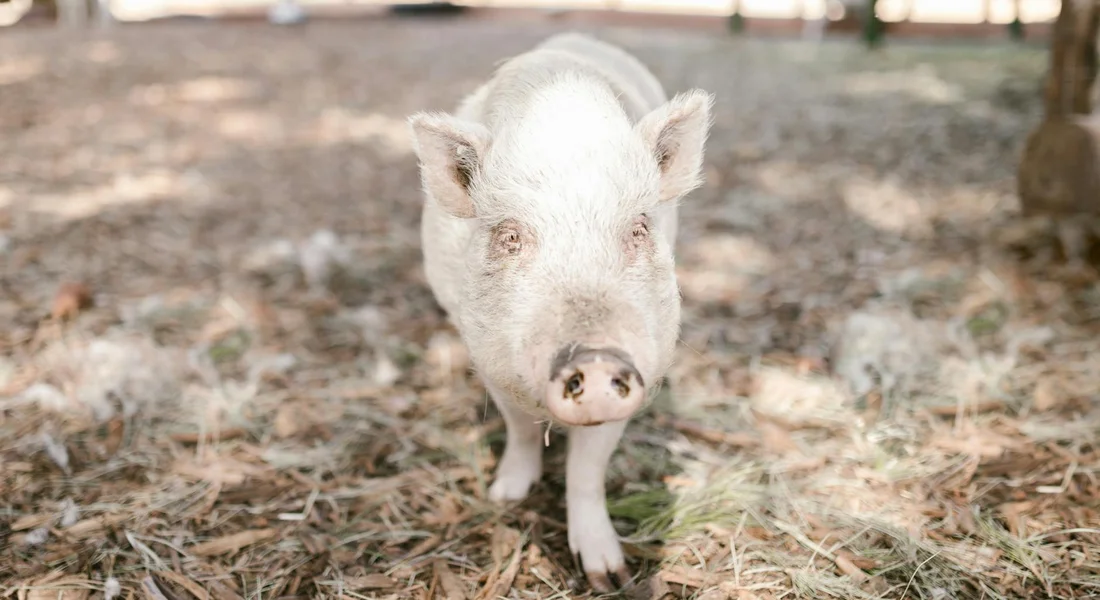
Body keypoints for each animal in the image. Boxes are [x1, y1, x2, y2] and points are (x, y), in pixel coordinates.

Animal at [408, 32, 713, 592]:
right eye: (510, 236)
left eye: (638, 228)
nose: (595, 359)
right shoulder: (487, 359)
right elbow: (521, 430)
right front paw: (505, 496)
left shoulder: (644, 368)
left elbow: (587, 469)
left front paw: (609, 577)